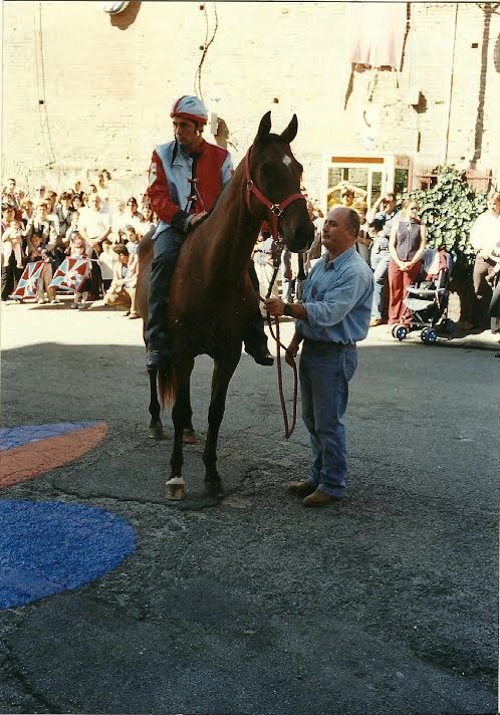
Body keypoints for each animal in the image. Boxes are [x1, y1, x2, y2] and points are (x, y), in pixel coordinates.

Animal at [136, 113, 312, 504]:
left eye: (299, 168)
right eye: (266, 169)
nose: (305, 233)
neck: (211, 271)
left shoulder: (227, 355)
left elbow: (215, 412)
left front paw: (212, 474)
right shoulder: (181, 351)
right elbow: (179, 407)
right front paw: (176, 475)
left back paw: (188, 430)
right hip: (152, 337)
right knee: (155, 372)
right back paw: (155, 420)